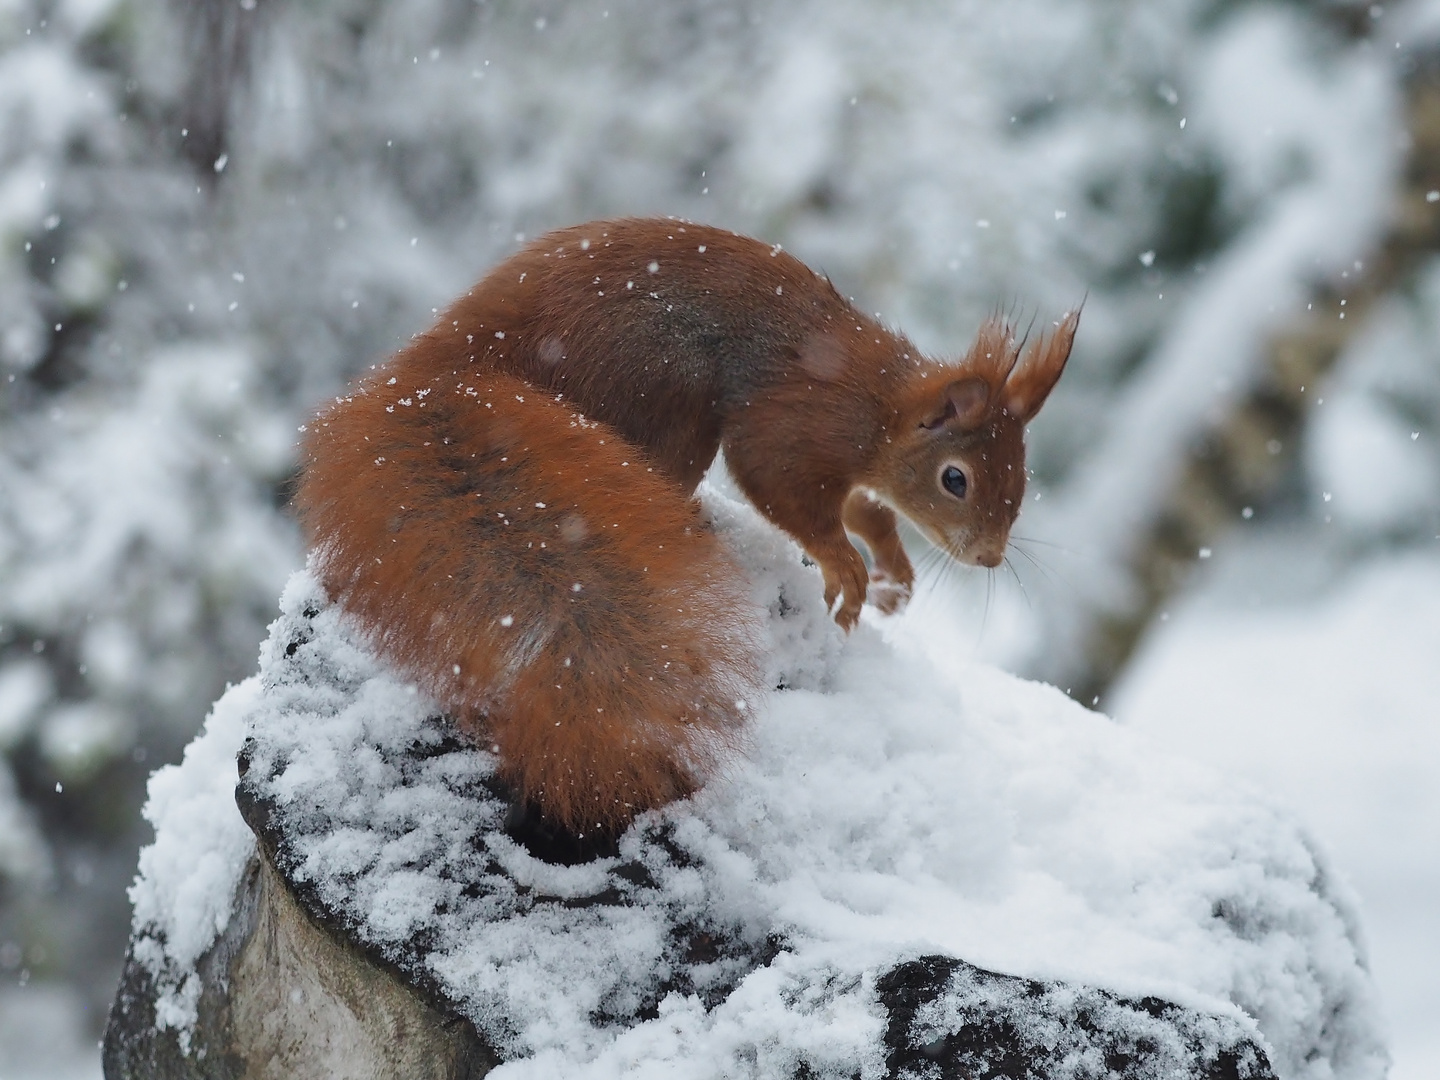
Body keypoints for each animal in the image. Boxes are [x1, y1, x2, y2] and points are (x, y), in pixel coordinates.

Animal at [295, 217, 1082, 835]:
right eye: (957, 480)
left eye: (1022, 477)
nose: (988, 557)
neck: (880, 405)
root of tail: (454, 360)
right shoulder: (794, 427)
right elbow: (793, 496)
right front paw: (849, 573)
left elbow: (868, 508)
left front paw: (894, 573)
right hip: (665, 396)